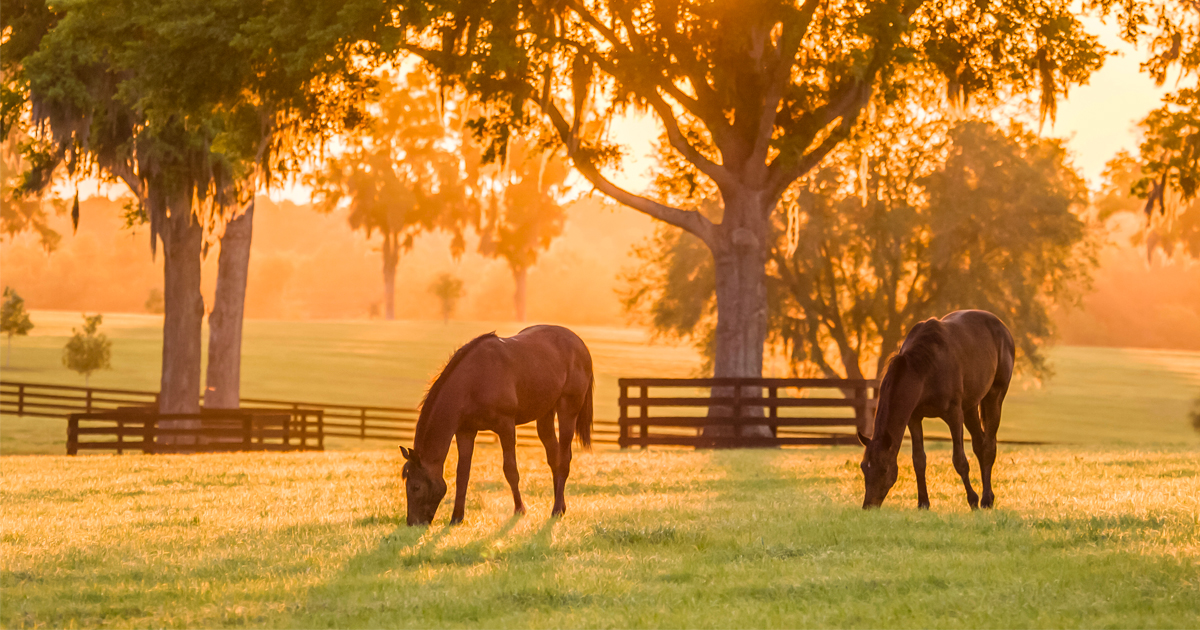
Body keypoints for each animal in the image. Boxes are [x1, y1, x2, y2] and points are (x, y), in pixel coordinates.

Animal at [400, 324, 592, 525]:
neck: (473, 381)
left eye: (415, 487)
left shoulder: (506, 426)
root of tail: (579, 343)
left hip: (567, 410)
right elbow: (462, 474)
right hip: (545, 414)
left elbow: (511, 470)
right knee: (554, 458)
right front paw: (457, 517)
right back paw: (560, 506)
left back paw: (555, 510)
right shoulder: (465, 431)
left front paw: (520, 510)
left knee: (564, 459)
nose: (412, 523)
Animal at [859, 309, 1017, 511]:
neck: (924, 369)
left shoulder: (954, 415)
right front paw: (923, 503)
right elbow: (919, 460)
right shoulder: (914, 418)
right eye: (864, 467)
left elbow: (959, 461)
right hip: (970, 407)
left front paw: (972, 500)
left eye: (884, 469)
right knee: (980, 445)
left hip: (994, 396)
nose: (868, 506)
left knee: (989, 446)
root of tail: (1002, 328)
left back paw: (986, 500)